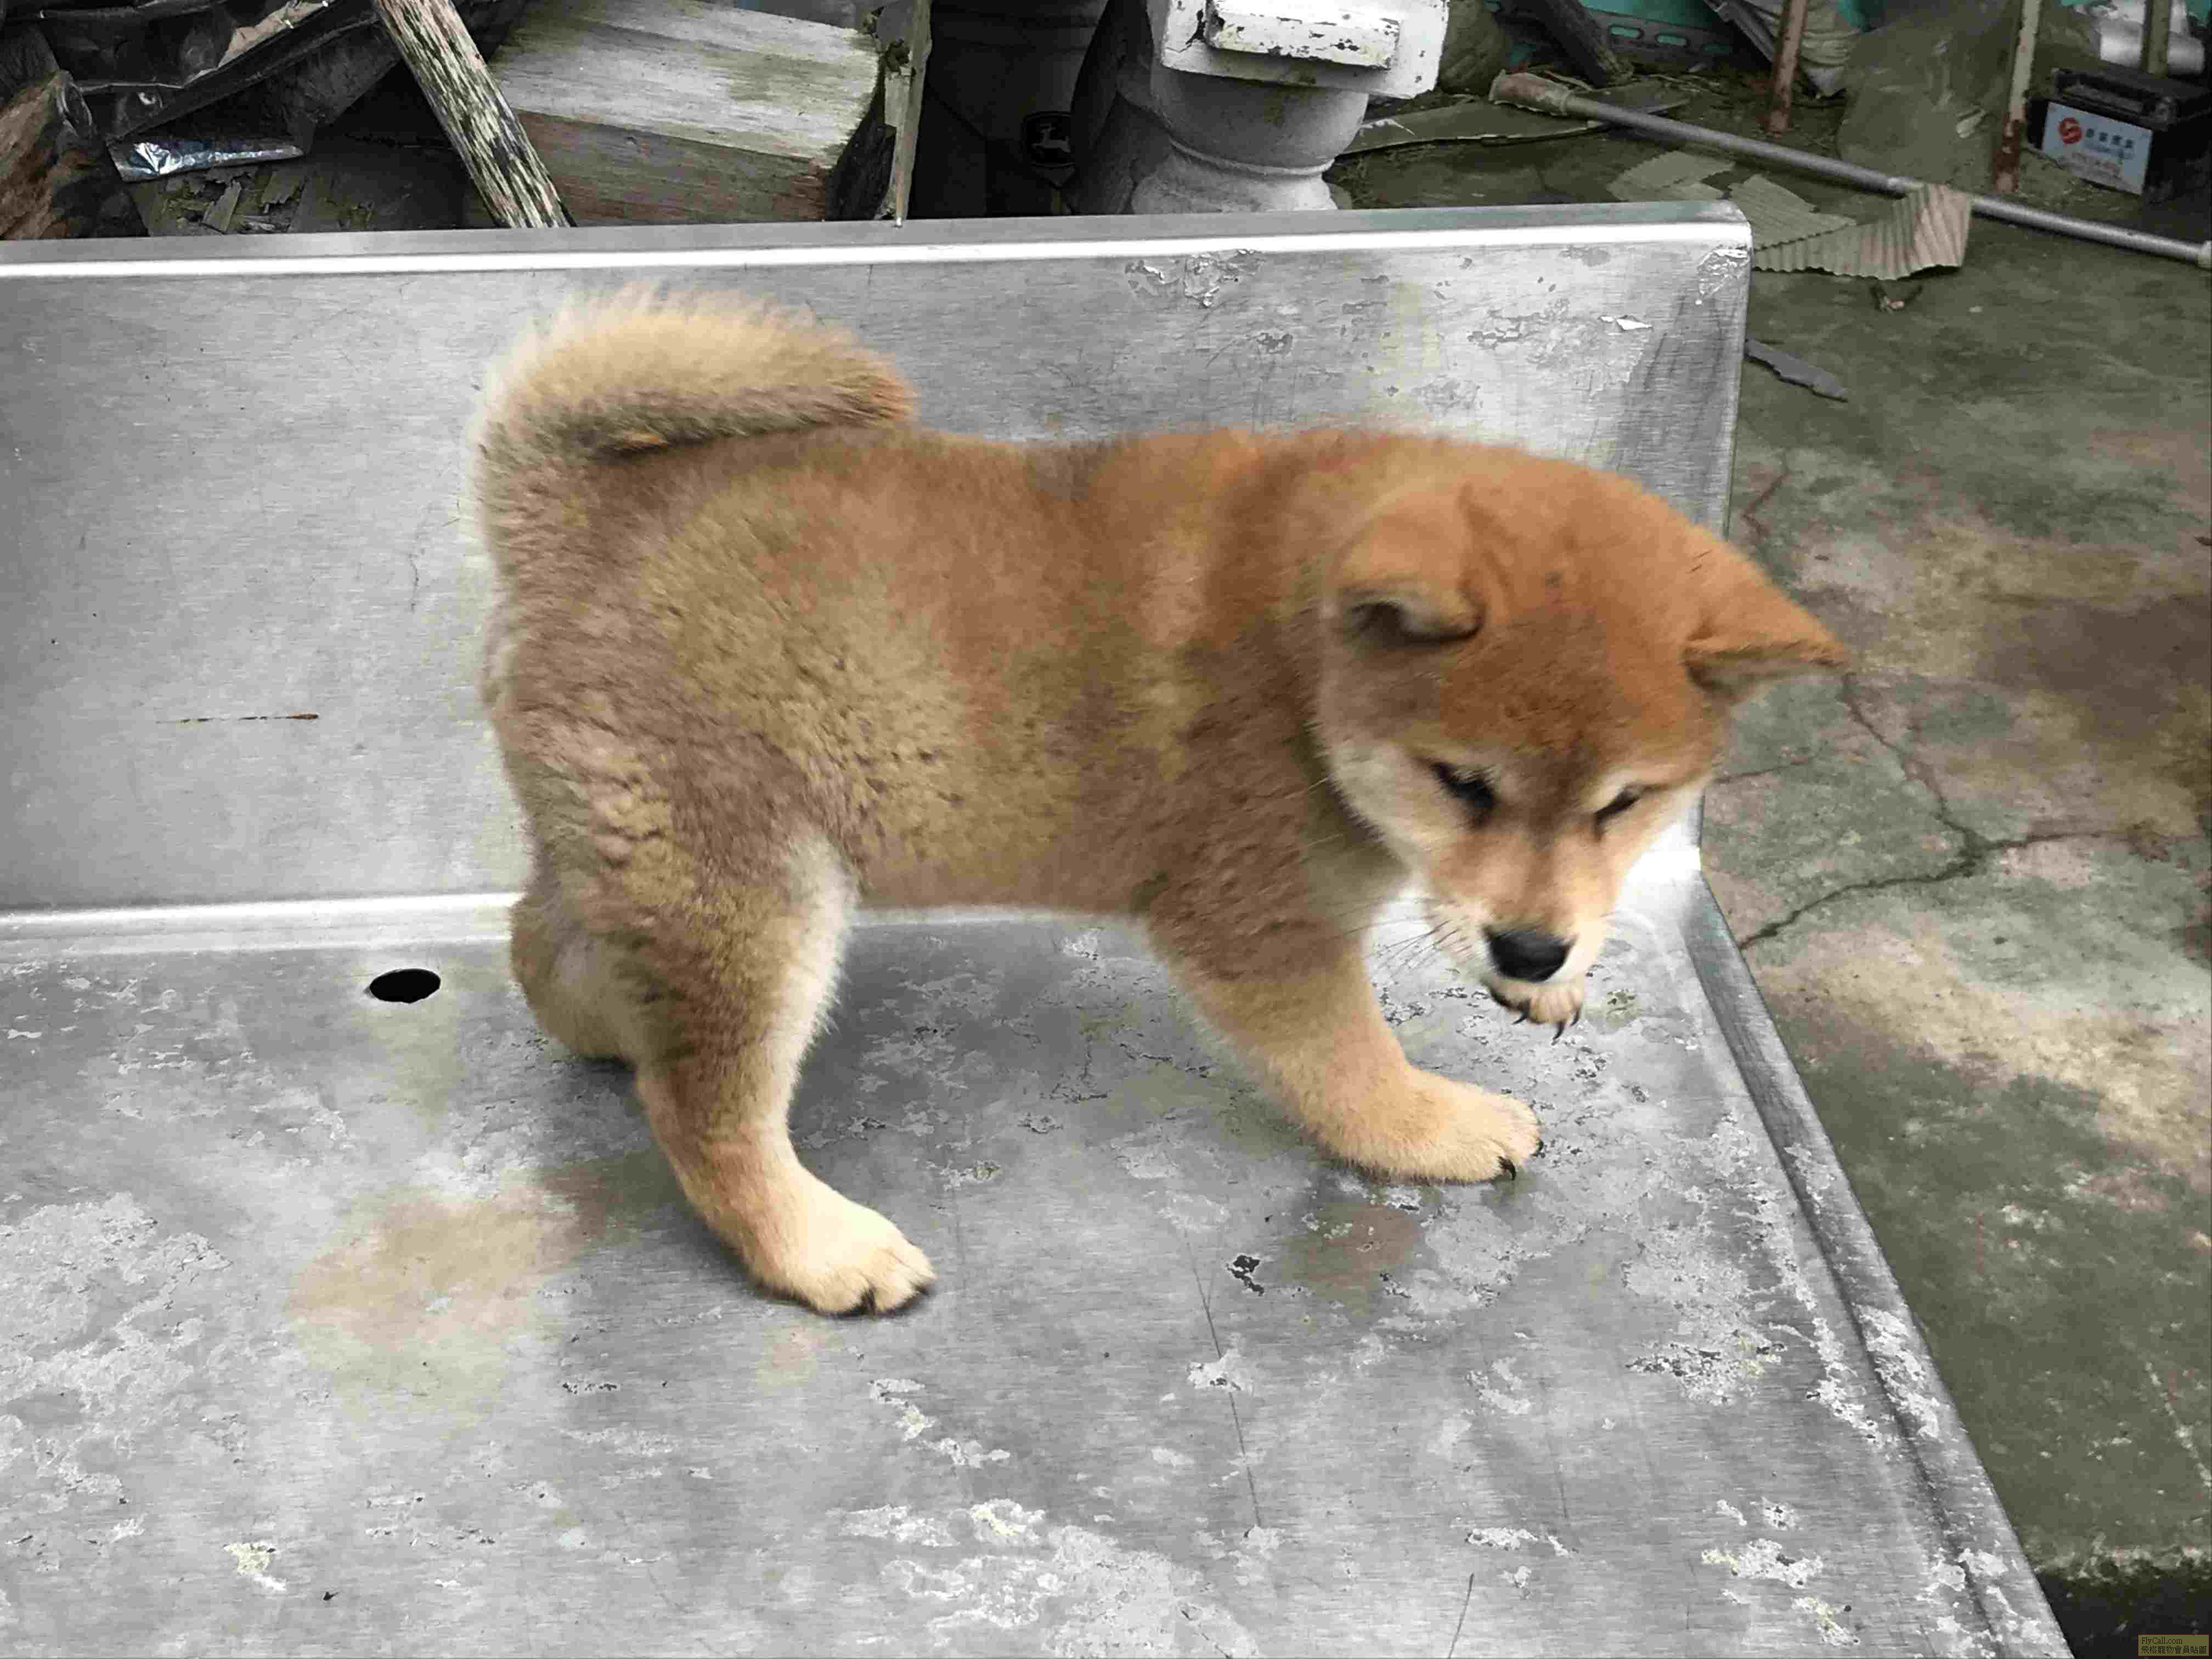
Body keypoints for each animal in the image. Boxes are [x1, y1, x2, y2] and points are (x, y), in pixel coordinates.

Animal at [473, 292, 1846, 1316]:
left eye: (1627, 803)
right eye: (1465, 784)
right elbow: (1352, 1066)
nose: (1533, 948)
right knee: (705, 1113)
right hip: (754, 889)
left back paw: (607, 1020)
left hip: (641, 842)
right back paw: (816, 1246)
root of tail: (572, 522)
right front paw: (1431, 1124)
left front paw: (1548, 977)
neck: (1306, 657)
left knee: (545, 943)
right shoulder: (1258, 925)